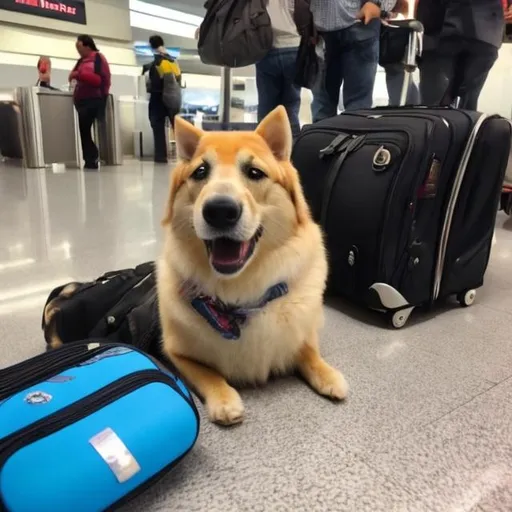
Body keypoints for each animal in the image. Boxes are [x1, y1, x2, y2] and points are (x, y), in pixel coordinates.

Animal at [156, 106, 348, 426]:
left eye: (255, 172)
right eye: (200, 172)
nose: (220, 211)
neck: (240, 293)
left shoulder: (300, 334)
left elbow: (309, 352)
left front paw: (328, 374)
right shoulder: (175, 353)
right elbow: (207, 373)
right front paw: (224, 399)